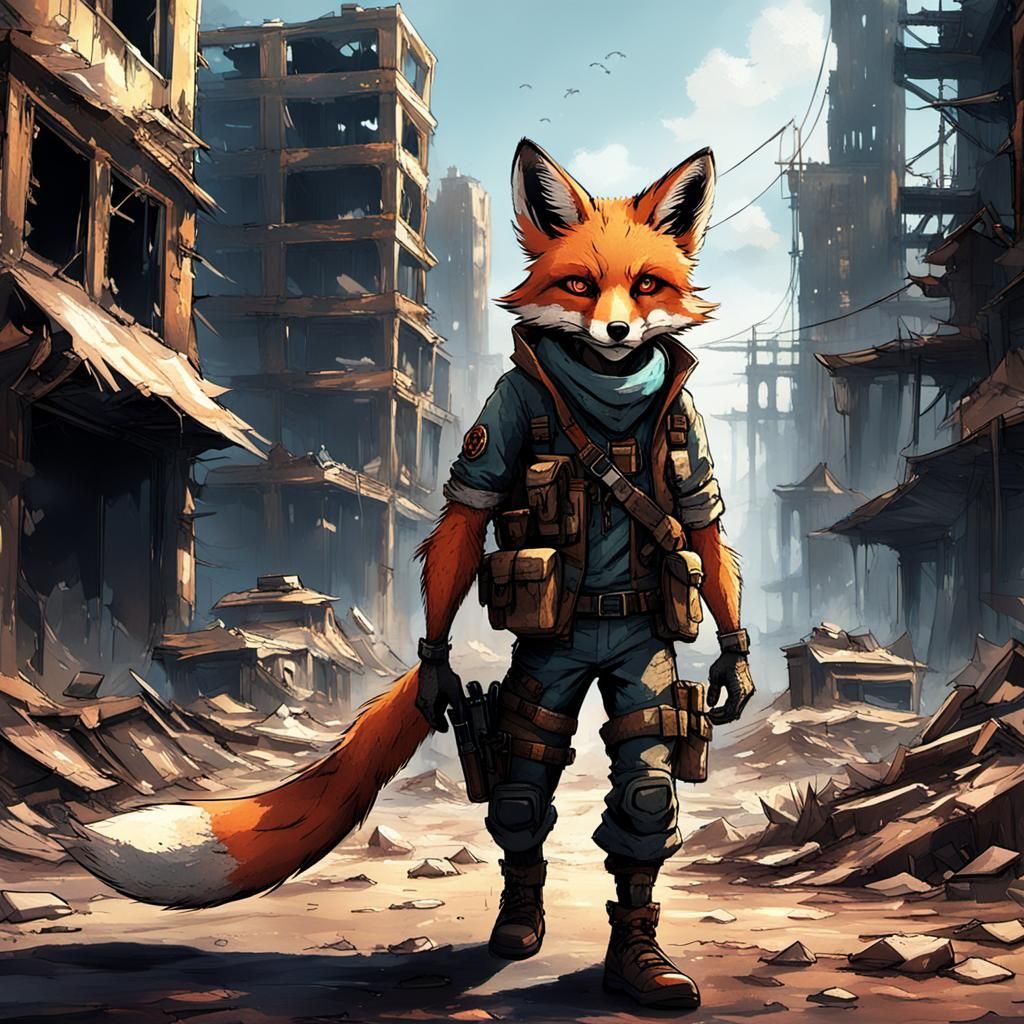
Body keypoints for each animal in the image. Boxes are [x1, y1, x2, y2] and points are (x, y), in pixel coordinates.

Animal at [61, 140, 749, 927]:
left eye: (645, 286)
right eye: (579, 284)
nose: (617, 333)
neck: (605, 393)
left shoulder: (686, 435)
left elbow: (699, 516)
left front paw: (734, 669)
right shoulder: (496, 423)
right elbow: (468, 513)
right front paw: (438, 673)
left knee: (643, 779)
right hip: (546, 671)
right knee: (524, 772)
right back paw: (517, 920)